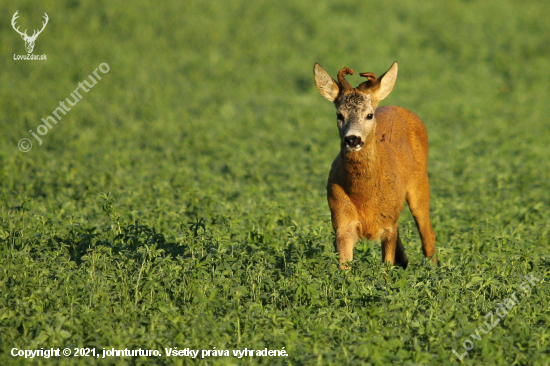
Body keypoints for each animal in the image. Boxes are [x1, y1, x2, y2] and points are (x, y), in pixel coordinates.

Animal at [316, 62, 438, 268]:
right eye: (339, 115)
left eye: (369, 115)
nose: (353, 139)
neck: (364, 196)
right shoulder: (341, 221)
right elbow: (344, 267)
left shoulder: (387, 226)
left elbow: (386, 266)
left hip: (420, 182)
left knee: (427, 233)